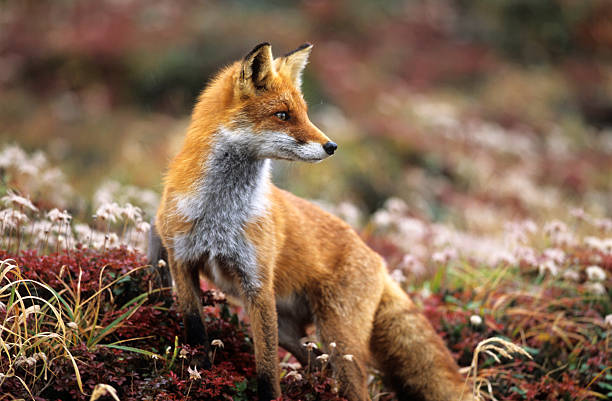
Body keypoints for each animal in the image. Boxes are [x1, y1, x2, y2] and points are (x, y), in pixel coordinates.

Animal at [149, 43, 474, 400]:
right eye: (282, 115)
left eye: (305, 113)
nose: (331, 146)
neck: (218, 214)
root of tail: (378, 259)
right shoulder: (181, 259)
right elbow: (195, 331)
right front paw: (199, 373)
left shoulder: (257, 283)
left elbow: (267, 370)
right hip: (295, 332)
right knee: (316, 364)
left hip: (338, 341)